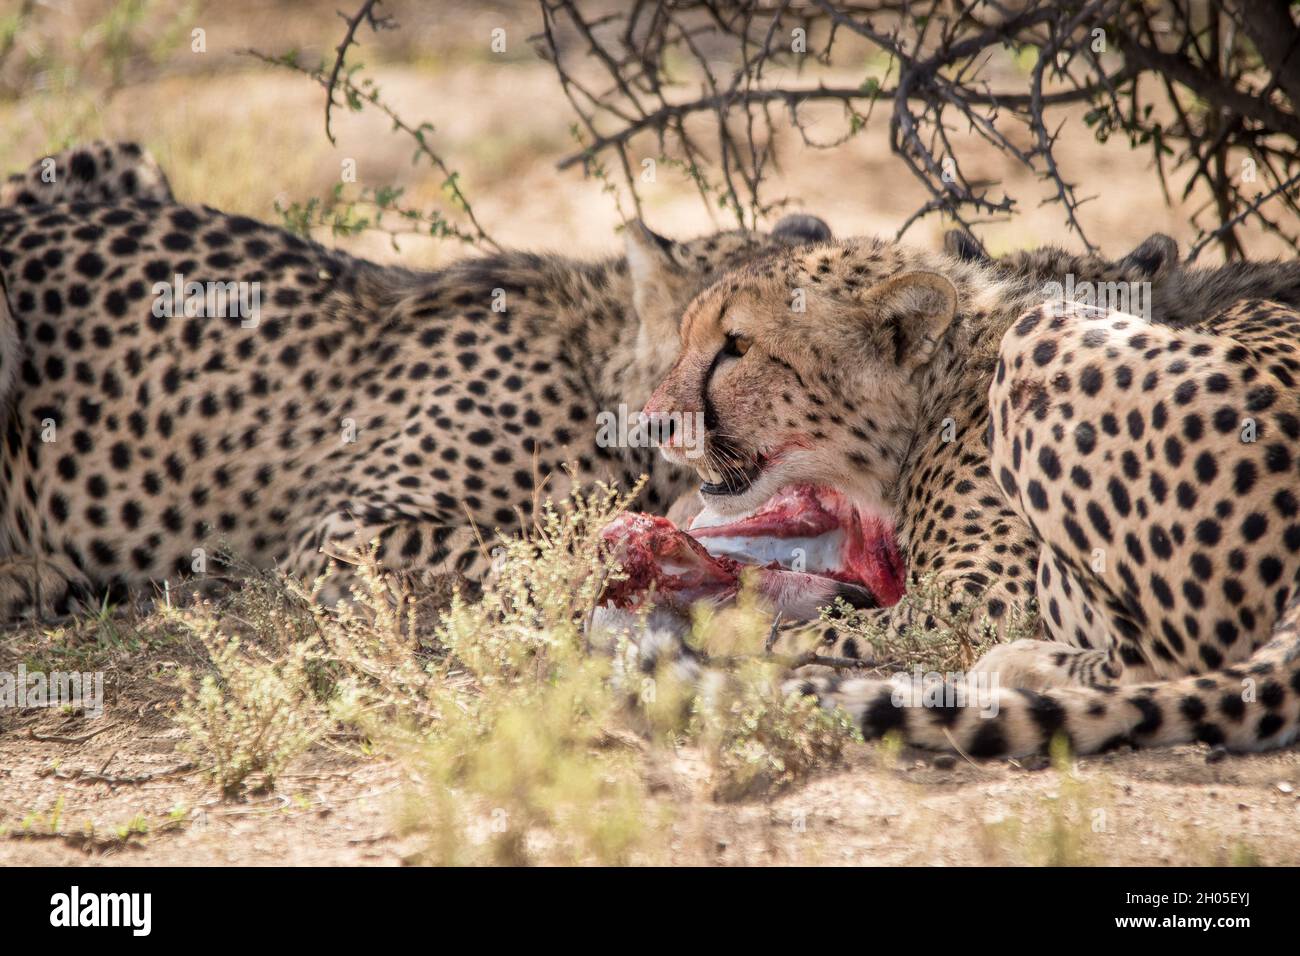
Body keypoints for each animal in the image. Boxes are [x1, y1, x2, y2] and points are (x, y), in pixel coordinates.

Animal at [647, 238, 1300, 754]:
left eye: (738, 346)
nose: (653, 422)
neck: (936, 396)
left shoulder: (984, 598)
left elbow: (814, 629)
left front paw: (708, 622)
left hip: (1042, 336)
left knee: (1173, 658)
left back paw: (1021, 664)